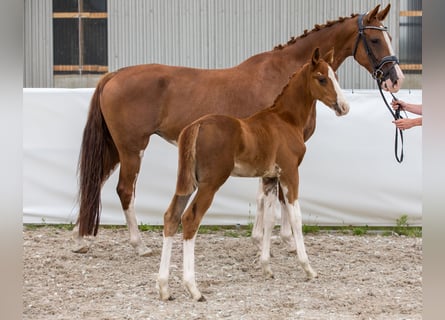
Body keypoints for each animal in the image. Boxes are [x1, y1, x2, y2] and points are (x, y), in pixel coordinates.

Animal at [73, 4, 402, 255]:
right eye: (375, 40)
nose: (395, 77)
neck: (286, 76)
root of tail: (114, 75)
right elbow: (280, 195)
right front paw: (286, 240)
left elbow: (264, 192)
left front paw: (260, 237)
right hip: (132, 148)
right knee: (125, 189)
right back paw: (138, 244)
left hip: (115, 148)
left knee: (94, 182)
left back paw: (82, 240)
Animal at [158, 48, 348, 302]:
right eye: (321, 78)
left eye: (335, 76)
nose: (343, 106)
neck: (285, 119)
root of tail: (196, 126)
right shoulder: (290, 173)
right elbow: (295, 217)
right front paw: (308, 268)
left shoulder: (269, 178)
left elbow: (268, 219)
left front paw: (266, 267)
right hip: (210, 184)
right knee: (190, 219)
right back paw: (193, 289)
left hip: (187, 183)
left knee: (172, 216)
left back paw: (164, 287)